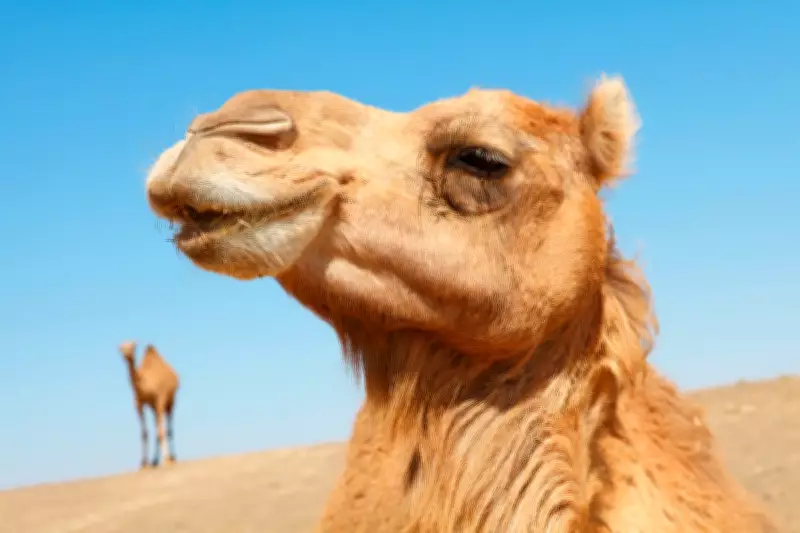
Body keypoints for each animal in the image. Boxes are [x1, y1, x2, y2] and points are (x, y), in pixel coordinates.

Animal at [118, 341, 180, 470]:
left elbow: (162, 432)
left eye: (133, 346)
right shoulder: (139, 405)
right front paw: (143, 463)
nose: (126, 354)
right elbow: (144, 433)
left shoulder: (160, 399)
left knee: (169, 427)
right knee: (157, 426)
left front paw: (166, 460)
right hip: (154, 408)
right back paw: (154, 460)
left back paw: (172, 457)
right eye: (121, 348)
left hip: (171, 402)